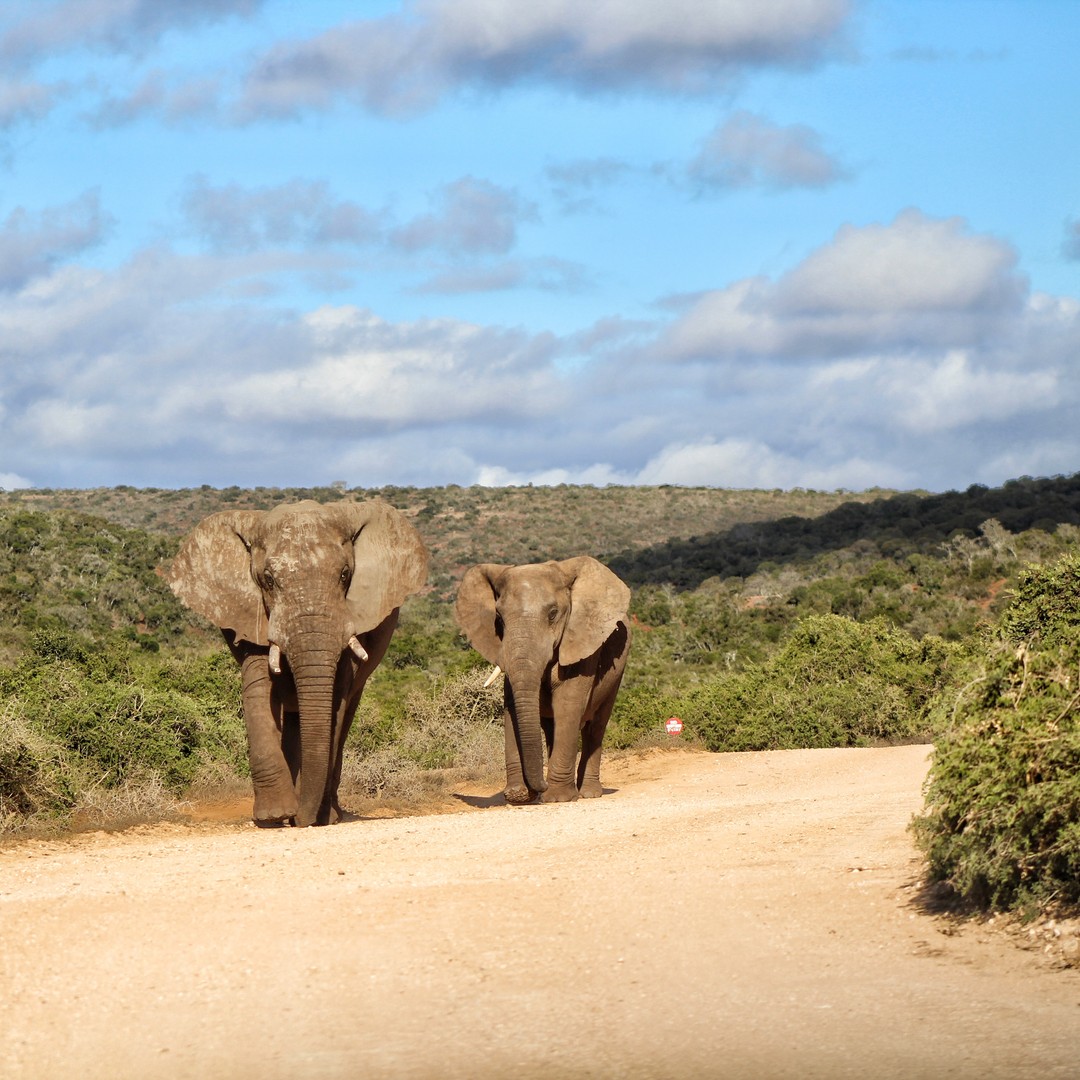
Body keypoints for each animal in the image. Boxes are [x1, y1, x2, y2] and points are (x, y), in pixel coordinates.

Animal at [167, 498, 428, 827]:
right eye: (267, 580)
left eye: (345, 575)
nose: (301, 820)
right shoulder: (251, 613)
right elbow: (258, 688)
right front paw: (274, 816)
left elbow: (336, 698)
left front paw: (313, 817)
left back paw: (329, 812)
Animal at [455, 557, 631, 804]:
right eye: (499, 618)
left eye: (553, 613)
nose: (539, 789)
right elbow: (512, 706)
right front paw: (518, 795)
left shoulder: (582, 642)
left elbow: (568, 705)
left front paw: (557, 797)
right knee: (551, 728)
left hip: (616, 674)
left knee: (595, 727)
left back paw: (588, 793)